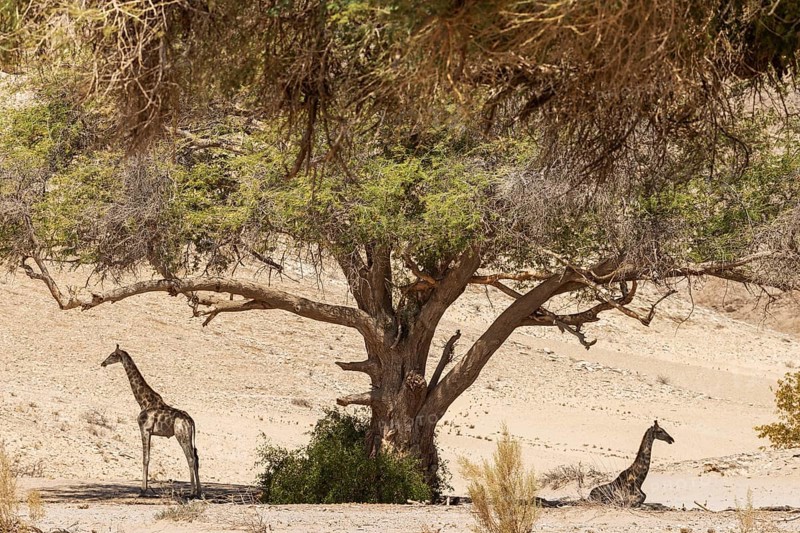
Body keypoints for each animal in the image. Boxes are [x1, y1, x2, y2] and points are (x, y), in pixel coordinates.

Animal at [101, 345, 201, 498]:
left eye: (112, 354)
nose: (103, 363)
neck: (143, 401)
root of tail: (190, 421)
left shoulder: (145, 429)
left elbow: (145, 458)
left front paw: (142, 490)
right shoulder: (149, 432)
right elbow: (148, 458)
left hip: (181, 435)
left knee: (190, 458)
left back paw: (192, 493)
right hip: (190, 437)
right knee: (196, 458)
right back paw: (199, 492)